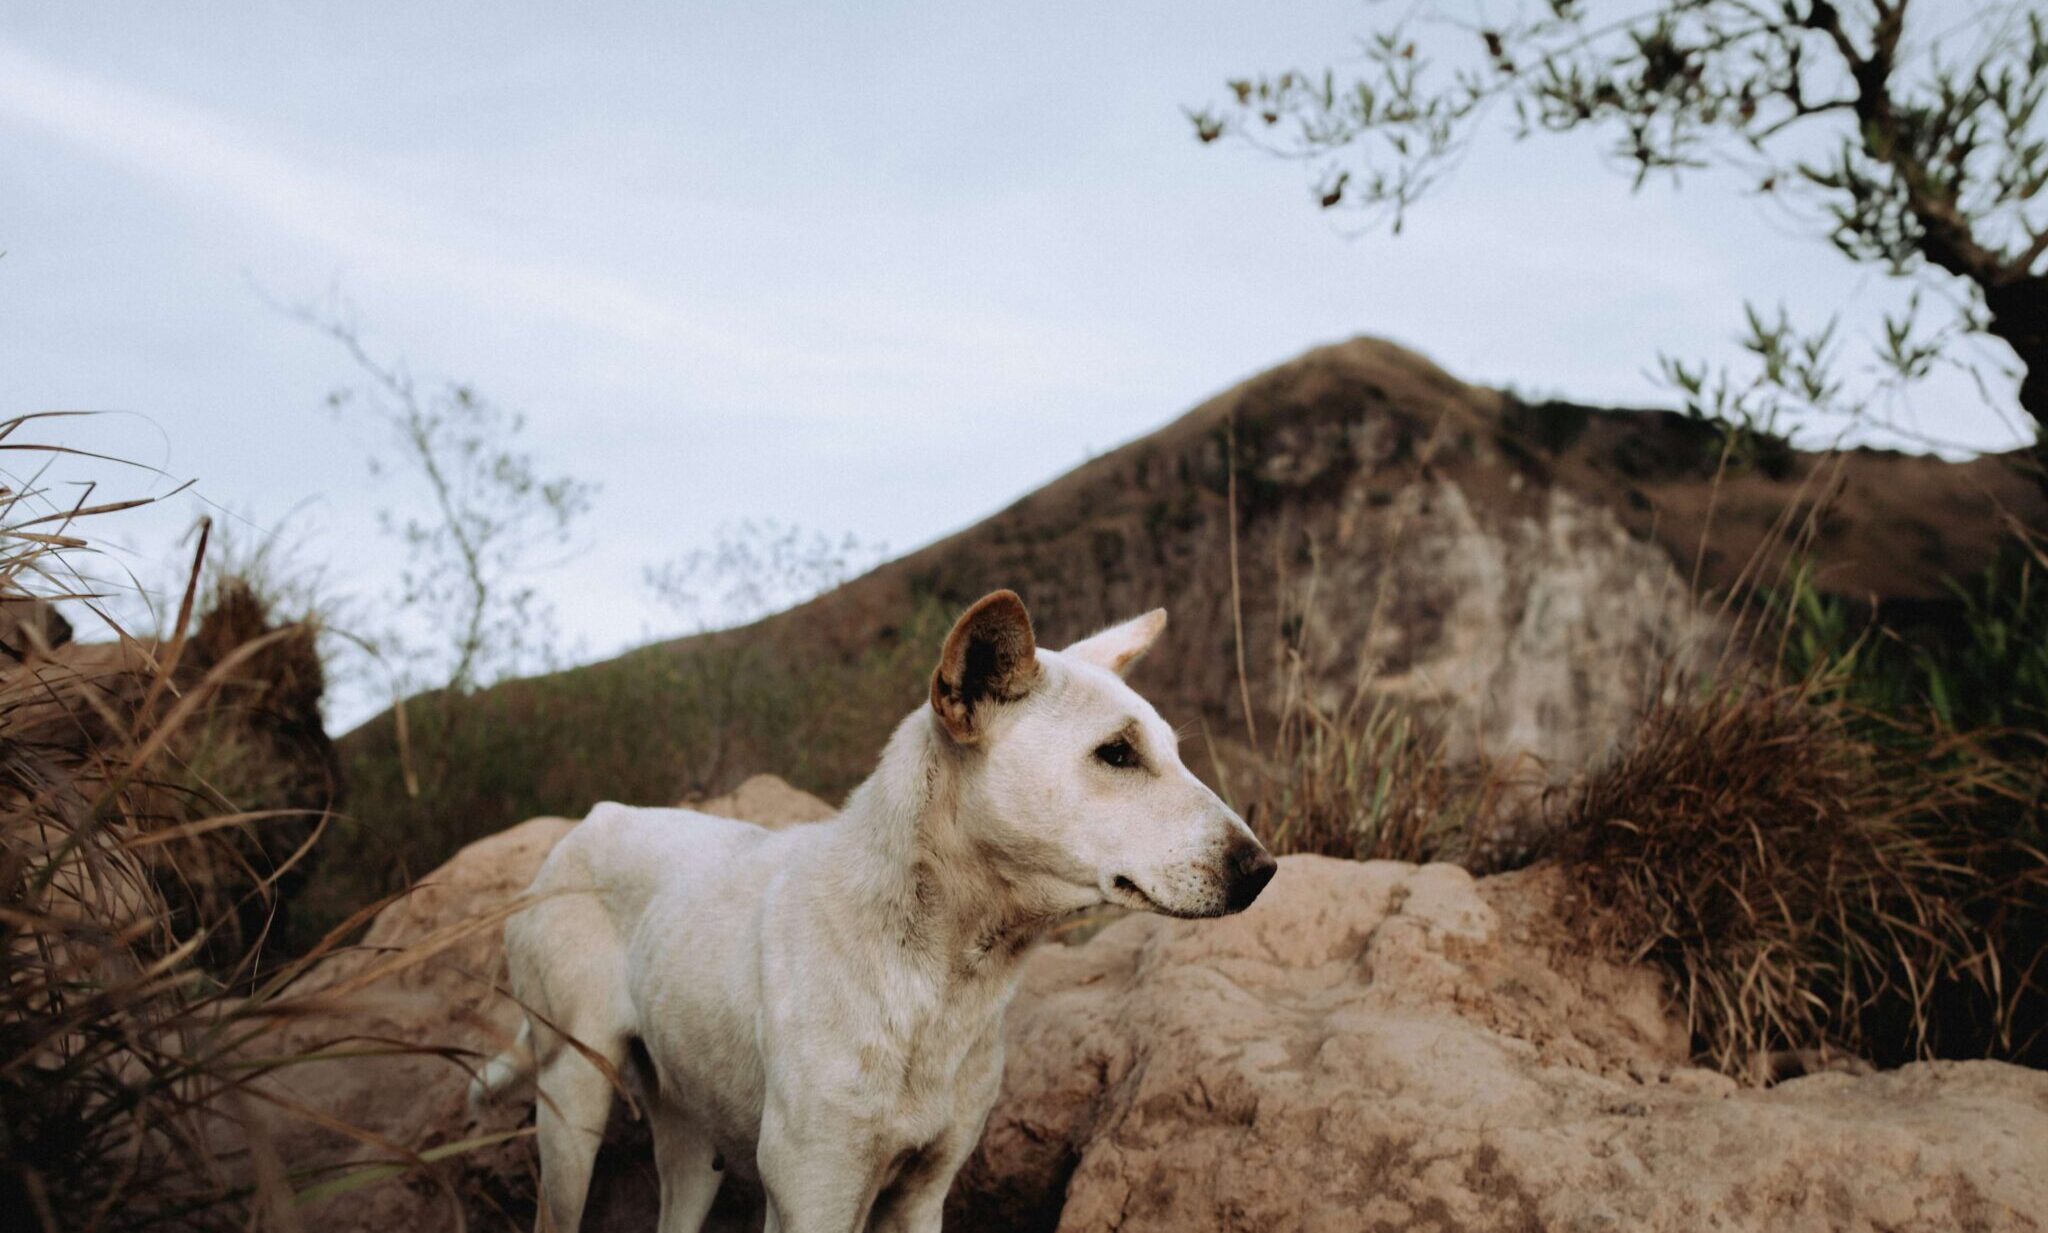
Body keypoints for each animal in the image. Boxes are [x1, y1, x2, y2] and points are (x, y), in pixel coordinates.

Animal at [475, 589, 1277, 1220]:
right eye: (1116, 753)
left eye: (1175, 751)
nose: (1264, 870)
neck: (935, 981)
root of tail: (587, 822)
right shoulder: (814, 1197)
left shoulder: (922, 1196)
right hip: (571, 1104)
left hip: (690, 1137)